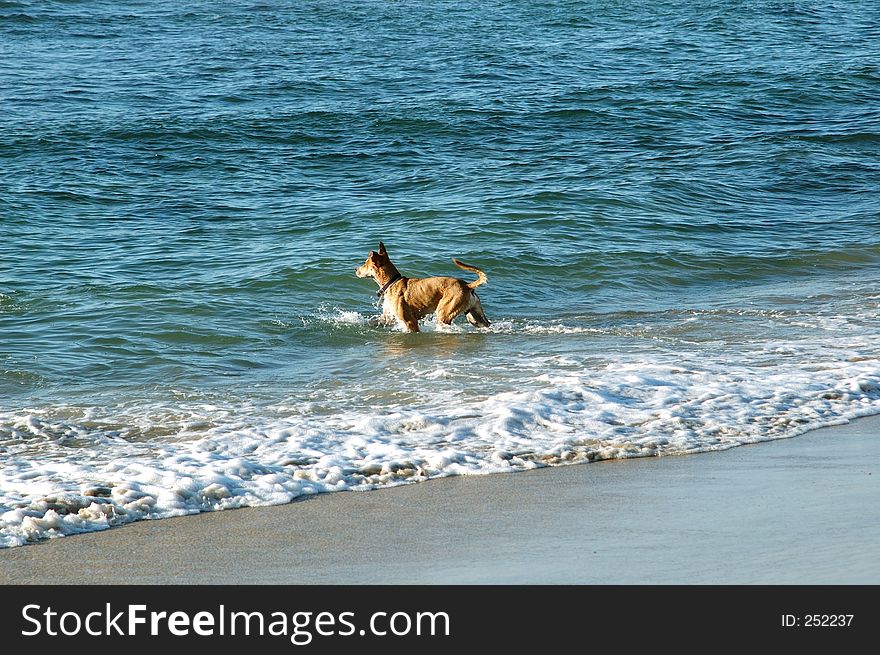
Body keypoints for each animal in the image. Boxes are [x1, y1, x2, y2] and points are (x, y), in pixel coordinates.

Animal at [358, 242, 496, 334]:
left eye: (364, 263)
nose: (355, 270)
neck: (392, 282)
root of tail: (467, 285)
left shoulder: (410, 322)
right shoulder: (386, 318)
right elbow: (371, 321)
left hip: (444, 313)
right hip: (474, 316)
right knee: (486, 324)